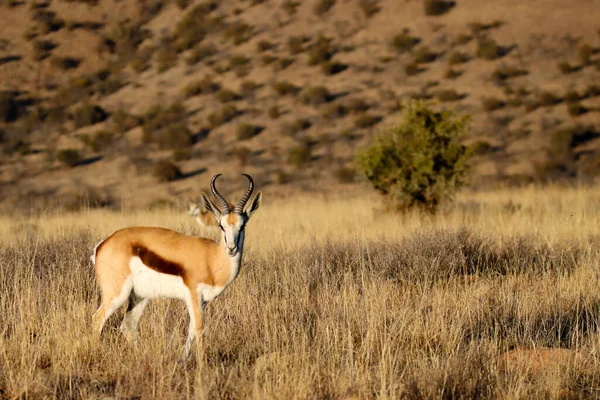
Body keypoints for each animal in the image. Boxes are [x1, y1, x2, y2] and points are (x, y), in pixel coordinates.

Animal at [92, 173, 262, 360]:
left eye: (242, 225)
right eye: (221, 226)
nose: (232, 248)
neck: (211, 258)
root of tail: (103, 244)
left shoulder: (203, 302)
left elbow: (191, 330)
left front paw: (183, 360)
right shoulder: (194, 296)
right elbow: (199, 328)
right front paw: (203, 364)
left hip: (140, 296)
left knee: (127, 325)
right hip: (117, 294)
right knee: (97, 320)